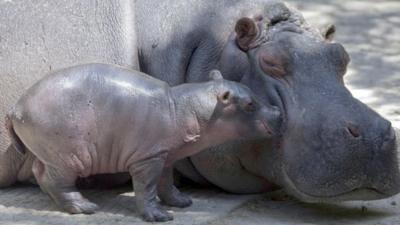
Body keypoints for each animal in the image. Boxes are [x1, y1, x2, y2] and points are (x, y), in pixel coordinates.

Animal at [6, 63, 282, 221]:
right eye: (249, 103)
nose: (279, 111)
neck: (184, 108)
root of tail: (16, 106)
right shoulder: (147, 159)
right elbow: (147, 187)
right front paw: (160, 216)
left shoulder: (166, 155)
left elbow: (167, 182)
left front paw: (183, 202)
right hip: (69, 156)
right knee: (57, 181)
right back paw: (85, 207)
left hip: (51, 153)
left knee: (40, 172)